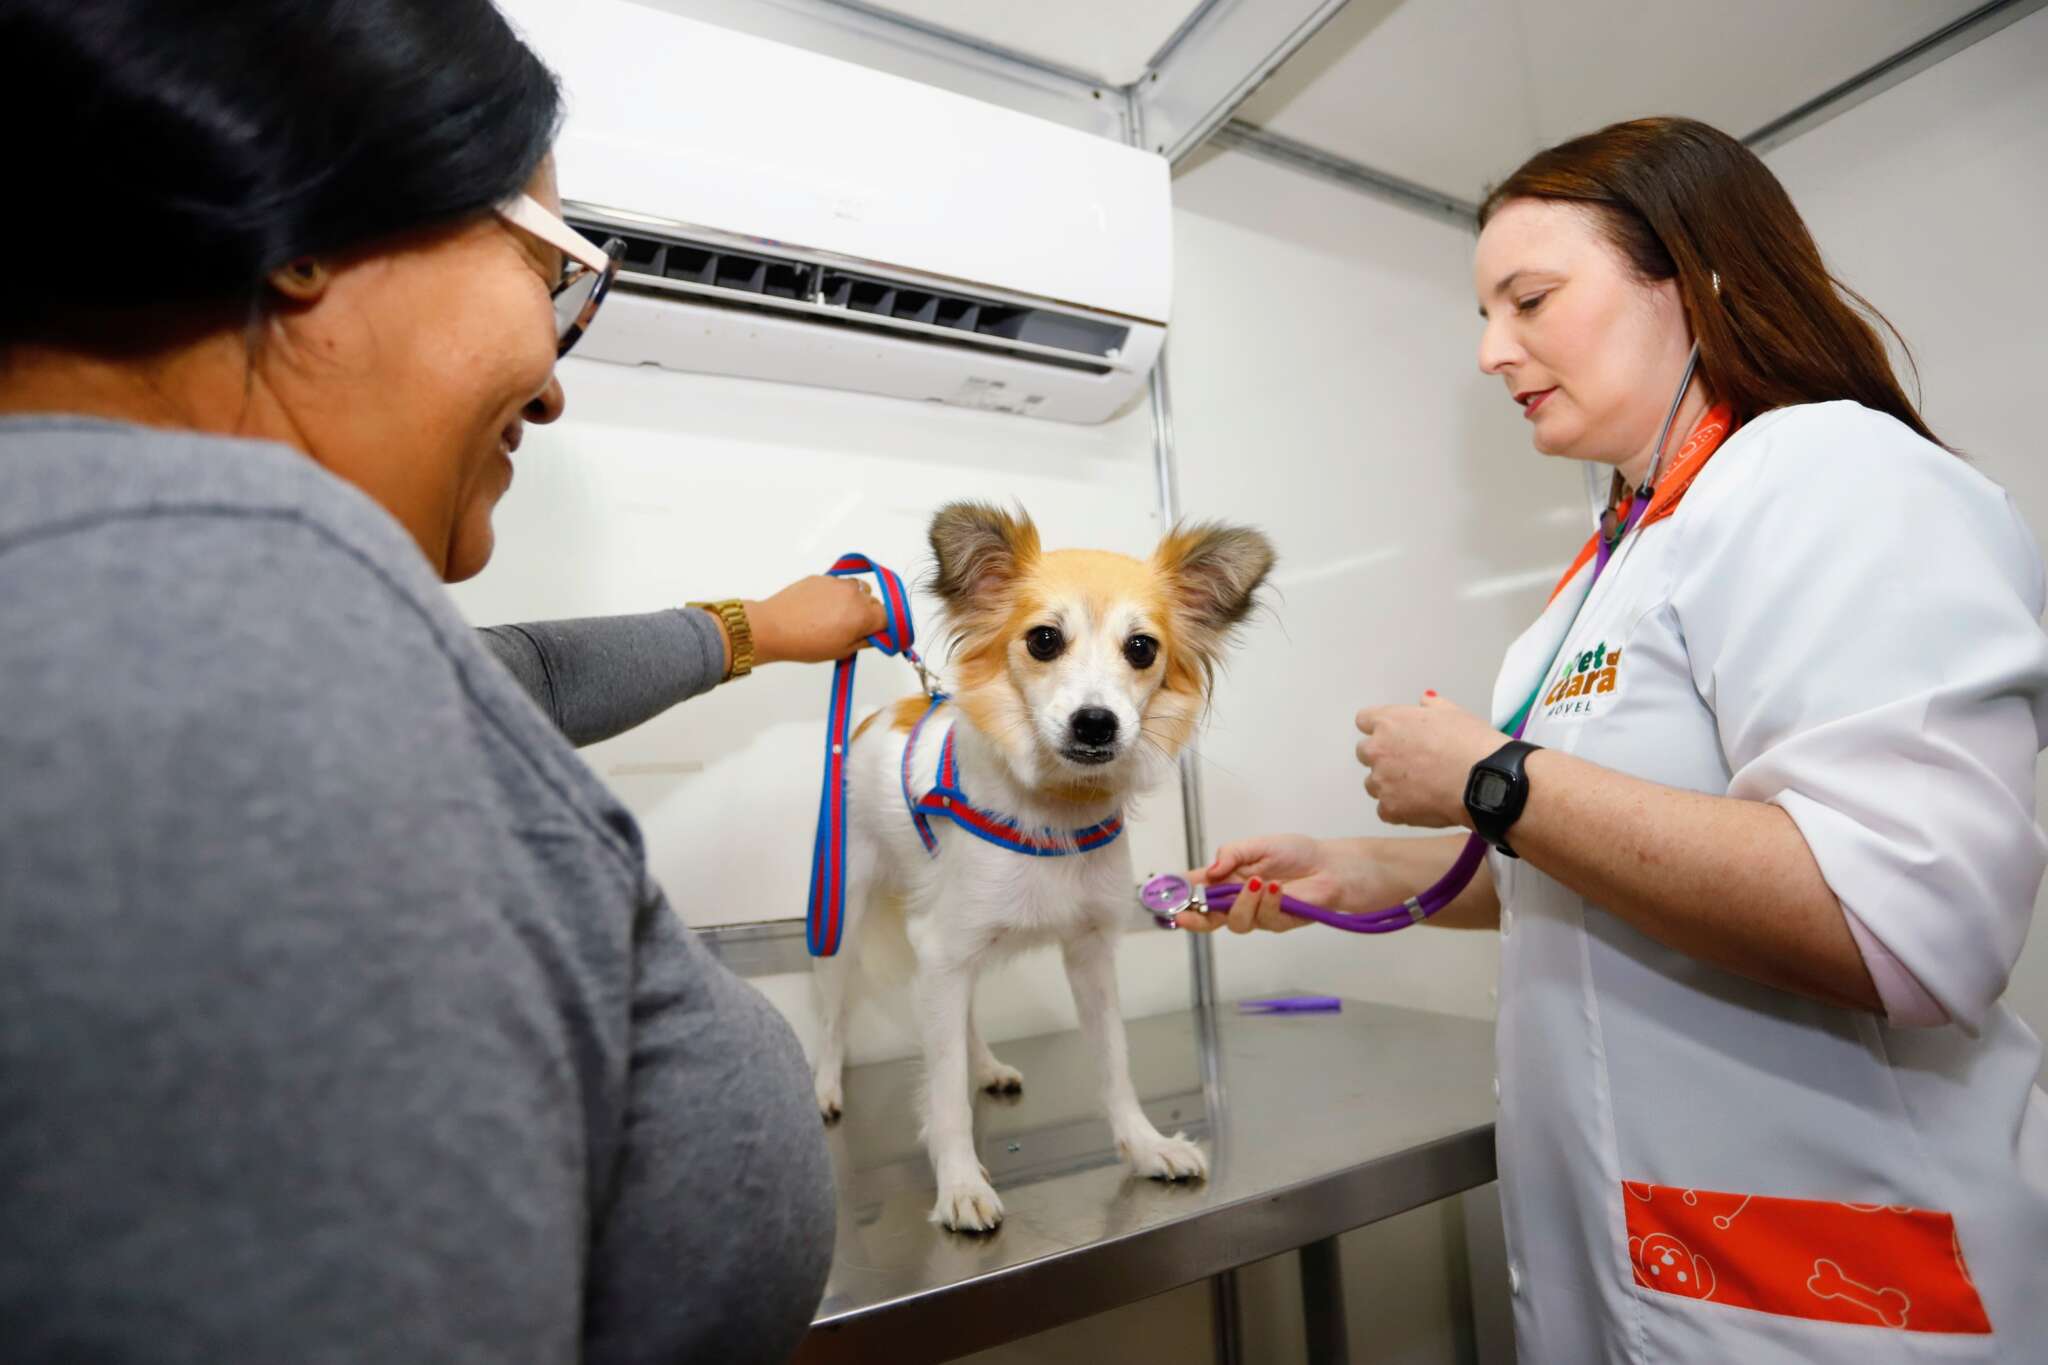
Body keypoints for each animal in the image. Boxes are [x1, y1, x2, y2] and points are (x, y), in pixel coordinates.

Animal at [806, 499, 1269, 1227]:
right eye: (1044, 640)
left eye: (1142, 649)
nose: (1096, 723)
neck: (1058, 810)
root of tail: (878, 716)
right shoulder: (942, 950)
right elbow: (942, 1094)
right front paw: (959, 1183)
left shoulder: (1088, 954)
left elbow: (1114, 1066)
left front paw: (1145, 1146)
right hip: (841, 917)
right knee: (832, 1016)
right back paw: (827, 1086)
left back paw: (986, 1065)